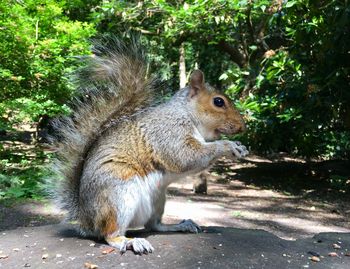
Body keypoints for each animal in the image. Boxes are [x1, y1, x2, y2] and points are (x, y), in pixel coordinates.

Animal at [51, 37, 249, 253]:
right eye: (218, 102)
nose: (243, 126)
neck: (186, 113)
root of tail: (87, 219)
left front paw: (239, 146)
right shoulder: (168, 132)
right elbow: (185, 156)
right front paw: (229, 146)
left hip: (158, 199)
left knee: (153, 225)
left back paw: (179, 226)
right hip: (118, 195)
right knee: (109, 233)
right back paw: (129, 241)